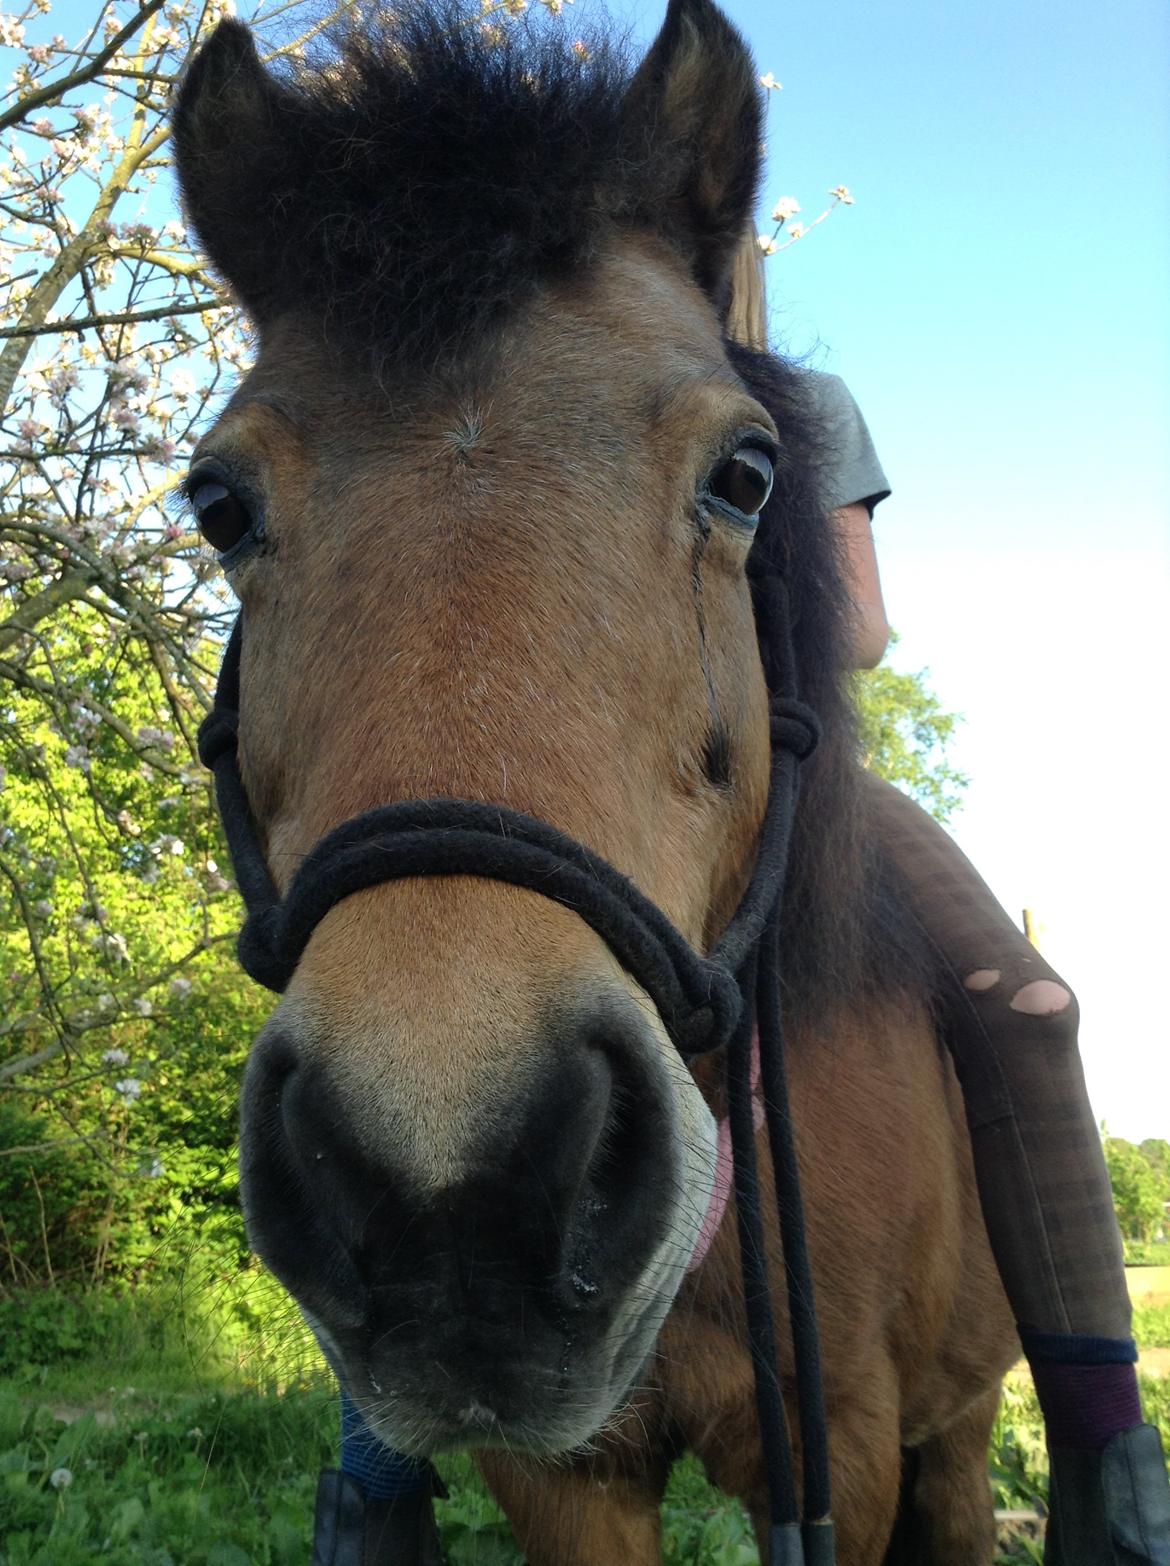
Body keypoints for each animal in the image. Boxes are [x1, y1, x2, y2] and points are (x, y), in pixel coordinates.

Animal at [171, 6, 1014, 1559]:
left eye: (746, 476)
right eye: (218, 506)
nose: (454, 1191)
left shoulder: (849, 1454)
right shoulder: (565, 1479)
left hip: (961, 1437)